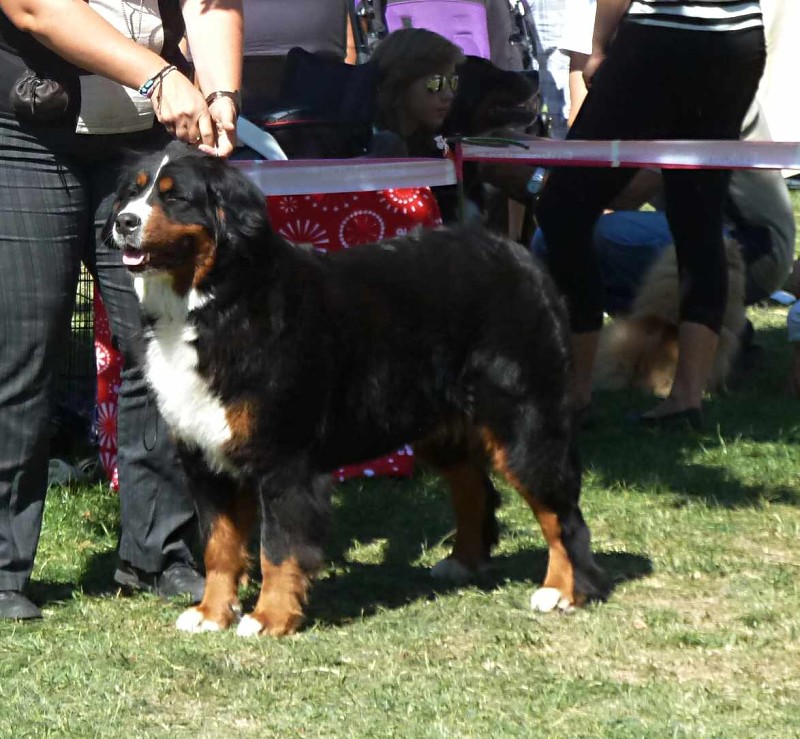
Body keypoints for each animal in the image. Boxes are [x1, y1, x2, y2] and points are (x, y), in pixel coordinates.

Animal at [108, 143, 608, 636]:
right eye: (133, 192)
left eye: (174, 196)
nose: (123, 221)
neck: (214, 302)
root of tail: (520, 257)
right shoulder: (206, 457)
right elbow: (219, 545)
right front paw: (212, 613)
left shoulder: (284, 459)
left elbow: (278, 548)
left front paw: (269, 618)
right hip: (442, 427)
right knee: (475, 488)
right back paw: (464, 563)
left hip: (524, 423)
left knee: (562, 514)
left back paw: (562, 590)